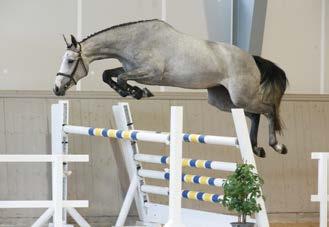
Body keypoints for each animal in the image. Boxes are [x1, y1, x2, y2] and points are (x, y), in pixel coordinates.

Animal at [53, 19, 288, 158]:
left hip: (241, 96)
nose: (56, 88)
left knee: (268, 110)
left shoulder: (151, 73)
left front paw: (138, 92)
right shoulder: (131, 68)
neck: (134, 40)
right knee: (254, 115)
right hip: (223, 100)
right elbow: (109, 74)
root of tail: (252, 58)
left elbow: (120, 78)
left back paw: (276, 146)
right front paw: (130, 92)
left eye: (70, 61)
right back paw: (255, 147)